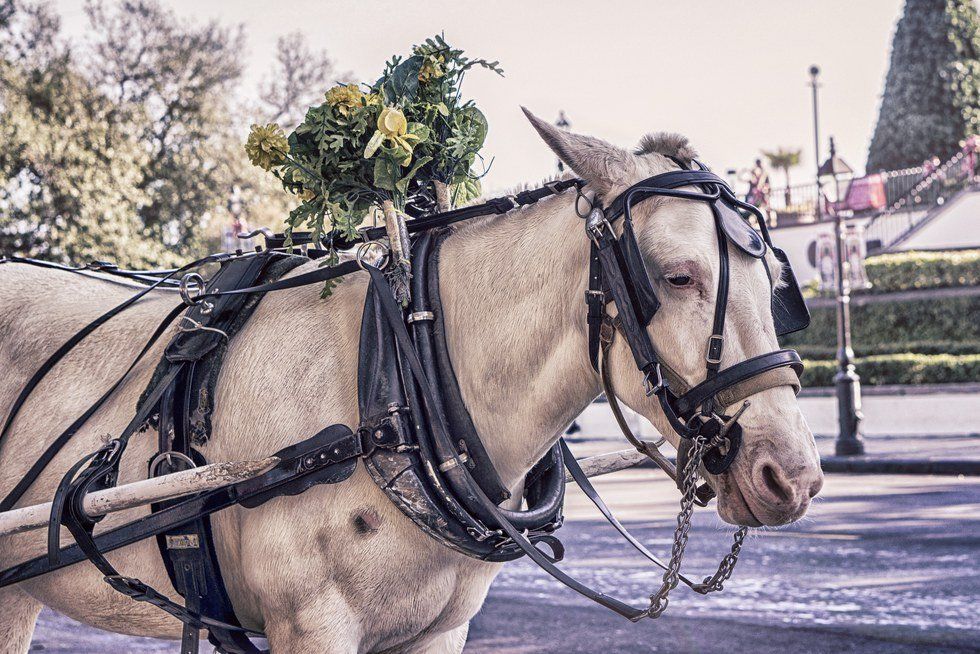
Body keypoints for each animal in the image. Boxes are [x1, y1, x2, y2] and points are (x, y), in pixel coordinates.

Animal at [0, 110, 823, 653]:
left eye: (775, 279)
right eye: (676, 276)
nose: (792, 474)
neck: (397, 389)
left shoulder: (440, 630)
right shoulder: (313, 628)